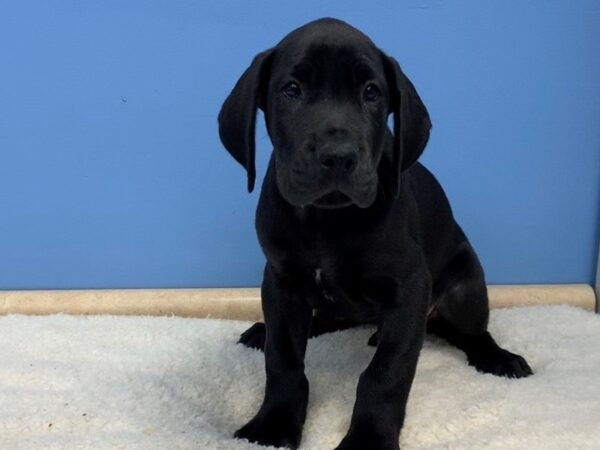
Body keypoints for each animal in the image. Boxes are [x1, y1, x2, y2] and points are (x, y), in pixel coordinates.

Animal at [218, 17, 532, 450]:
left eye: (371, 93)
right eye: (291, 89)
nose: (338, 156)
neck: (326, 220)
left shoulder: (409, 288)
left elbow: (385, 373)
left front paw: (368, 440)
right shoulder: (281, 282)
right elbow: (282, 359)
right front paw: (273, 425)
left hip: (464, 291)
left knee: (472, 332)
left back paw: (498, 357)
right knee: (326, 320)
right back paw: (265, 331)